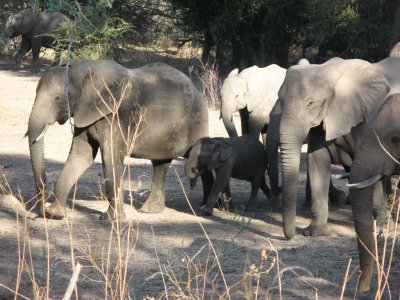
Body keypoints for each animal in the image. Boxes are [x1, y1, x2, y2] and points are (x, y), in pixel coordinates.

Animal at [26, 59, 211, 220]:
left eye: (58, 98)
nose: (41, 208)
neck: (84, 69)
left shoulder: (116, 116)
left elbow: (110, 158)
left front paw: (111, 219)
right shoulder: (84, 112)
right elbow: (80, 155)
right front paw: (55, 214)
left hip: (196, 120)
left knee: (200, 159)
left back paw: (208, 210)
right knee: (160, 163)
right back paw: (150, 211)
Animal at [276, 56, 400, 243]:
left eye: (311, 104)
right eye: (280, 100)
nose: (290, 237)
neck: (327, 71)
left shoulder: (367, 118)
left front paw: (385, 227)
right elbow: (317, 161)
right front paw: (315, 233)